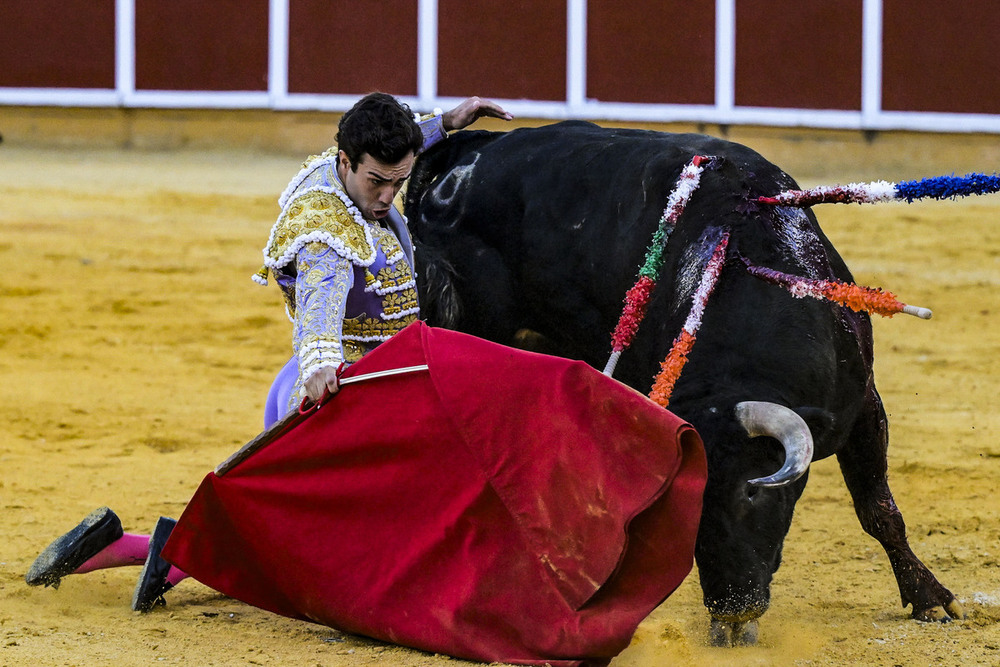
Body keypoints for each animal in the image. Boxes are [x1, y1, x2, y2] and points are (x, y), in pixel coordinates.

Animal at [402, 121, 964, 648]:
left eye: (751, 493)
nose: (732, 610)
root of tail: (464, 152)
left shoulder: (863, 405)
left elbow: (879, 510)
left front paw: (930, 600)